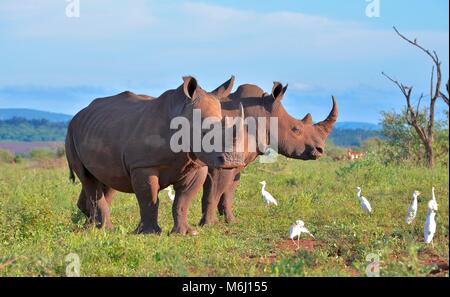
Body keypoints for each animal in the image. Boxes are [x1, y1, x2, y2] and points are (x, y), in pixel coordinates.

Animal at [65, 77, 244, 235]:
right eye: (204, 132)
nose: (233, 161)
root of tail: (79, 114)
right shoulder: (143, 165)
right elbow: (149, 198)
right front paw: (148, 233)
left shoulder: (197, 165)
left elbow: (183, 200)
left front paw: (186, 233)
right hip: (71, 132)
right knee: (88, 179)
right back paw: (103, 229)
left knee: (108, 180)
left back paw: (91, 227)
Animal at [200, 81, 338, 224]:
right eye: (296, 129)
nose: (320, 150)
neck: (262, 114)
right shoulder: (220, 163)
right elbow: (215, 191)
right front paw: (209, 224)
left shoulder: (235, 162)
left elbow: (228, 191)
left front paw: (231, 221)